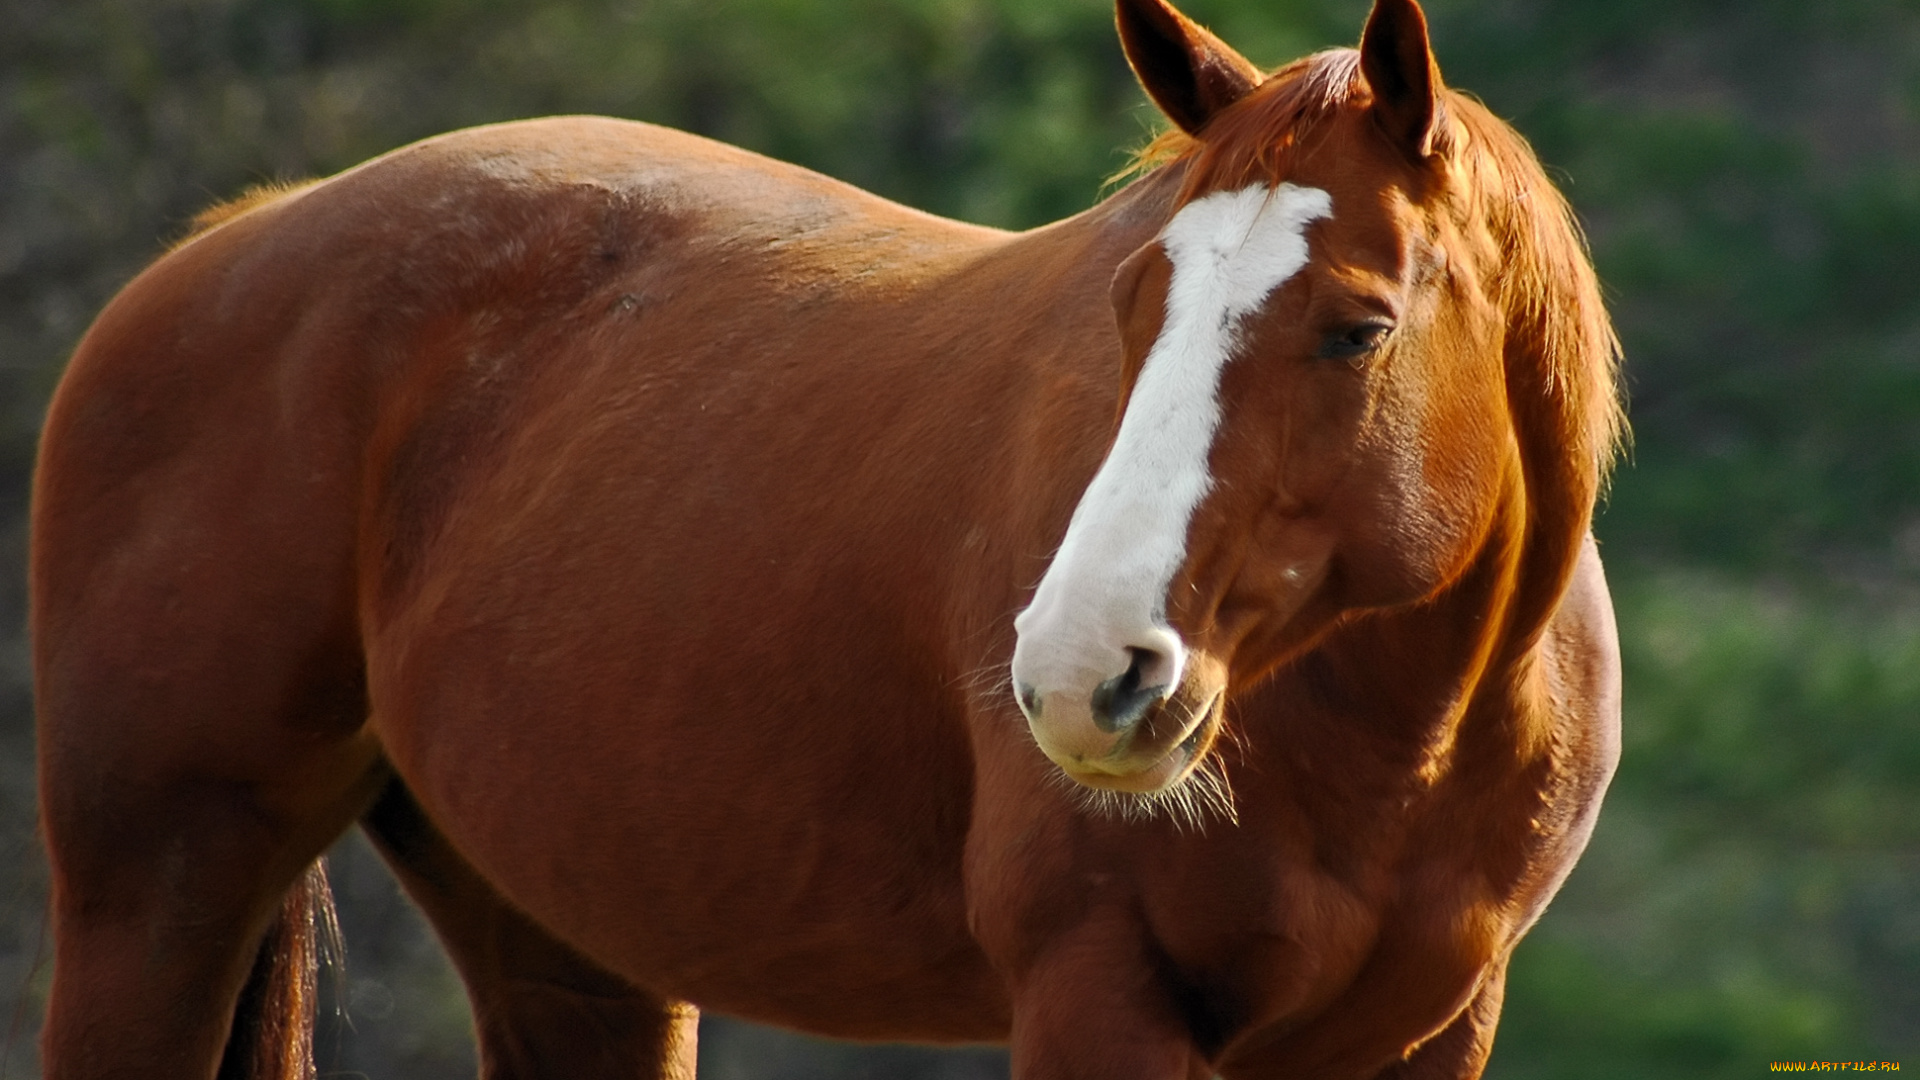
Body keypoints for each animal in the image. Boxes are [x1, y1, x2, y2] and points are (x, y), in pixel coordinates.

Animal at [30, 0, 1620, 1068]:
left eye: (1358, 327)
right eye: (1132, 303)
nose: (1080, 673)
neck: (1389, 746)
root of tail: (237, 237)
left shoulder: (1417, 1040)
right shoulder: (1100, 998)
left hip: (561, 945)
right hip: (153, 893)